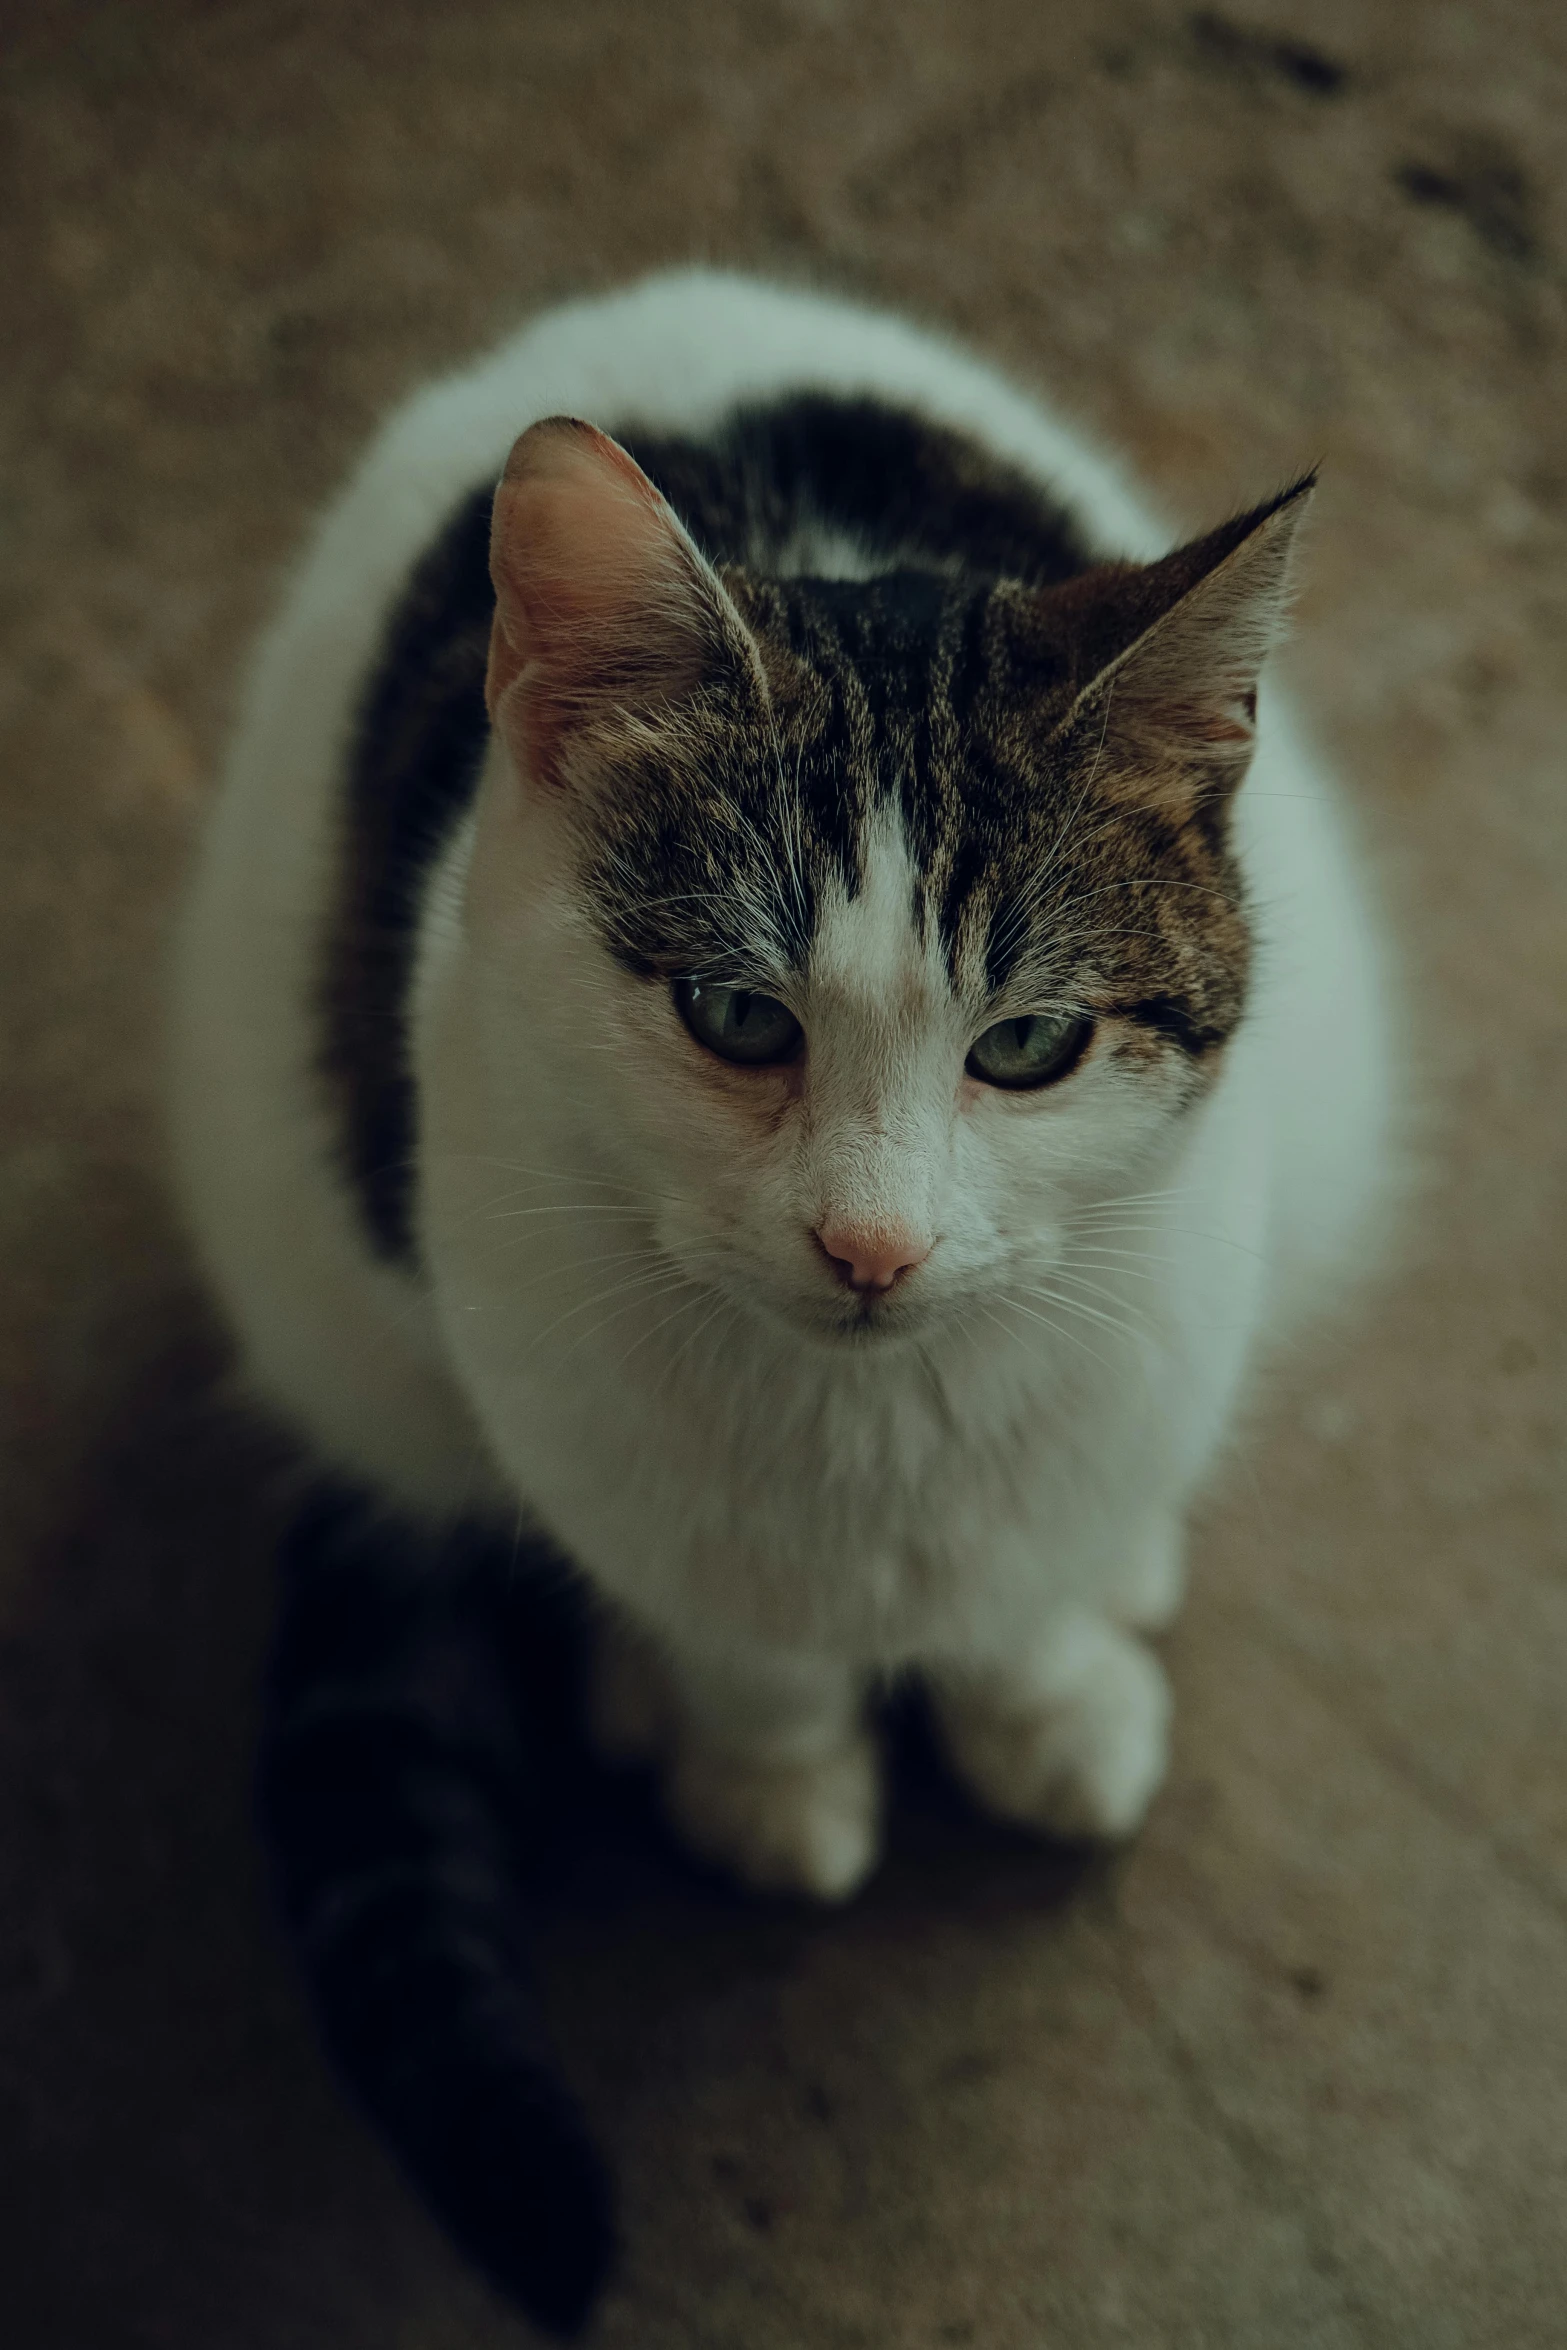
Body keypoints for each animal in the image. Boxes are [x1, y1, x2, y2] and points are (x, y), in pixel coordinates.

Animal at [171, 270, 1400, 2331]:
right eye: (738, 1015)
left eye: (1031, 1044)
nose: (872, 1250)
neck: (873, 1435)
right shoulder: (572, 1396)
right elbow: (732, 1625)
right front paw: (767, 1772)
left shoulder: (1130, 1347)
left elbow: (1027, 1572)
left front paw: (1045, 1702)